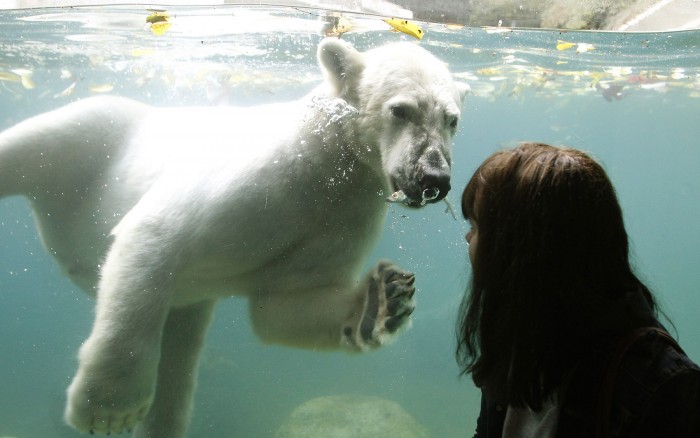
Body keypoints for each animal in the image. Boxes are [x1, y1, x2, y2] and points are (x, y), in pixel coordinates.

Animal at [1, 39, 470, 436]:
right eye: (400, 110)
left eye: (452, 120)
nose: (434, 178)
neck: (320, 159)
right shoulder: (259, 177)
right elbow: (157, 233)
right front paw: (108, 409)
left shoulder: (341, 217)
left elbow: (283, 302)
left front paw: (381, 301)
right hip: (94, 131)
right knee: (33, 147)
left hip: (185, 305)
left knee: (178, 366)